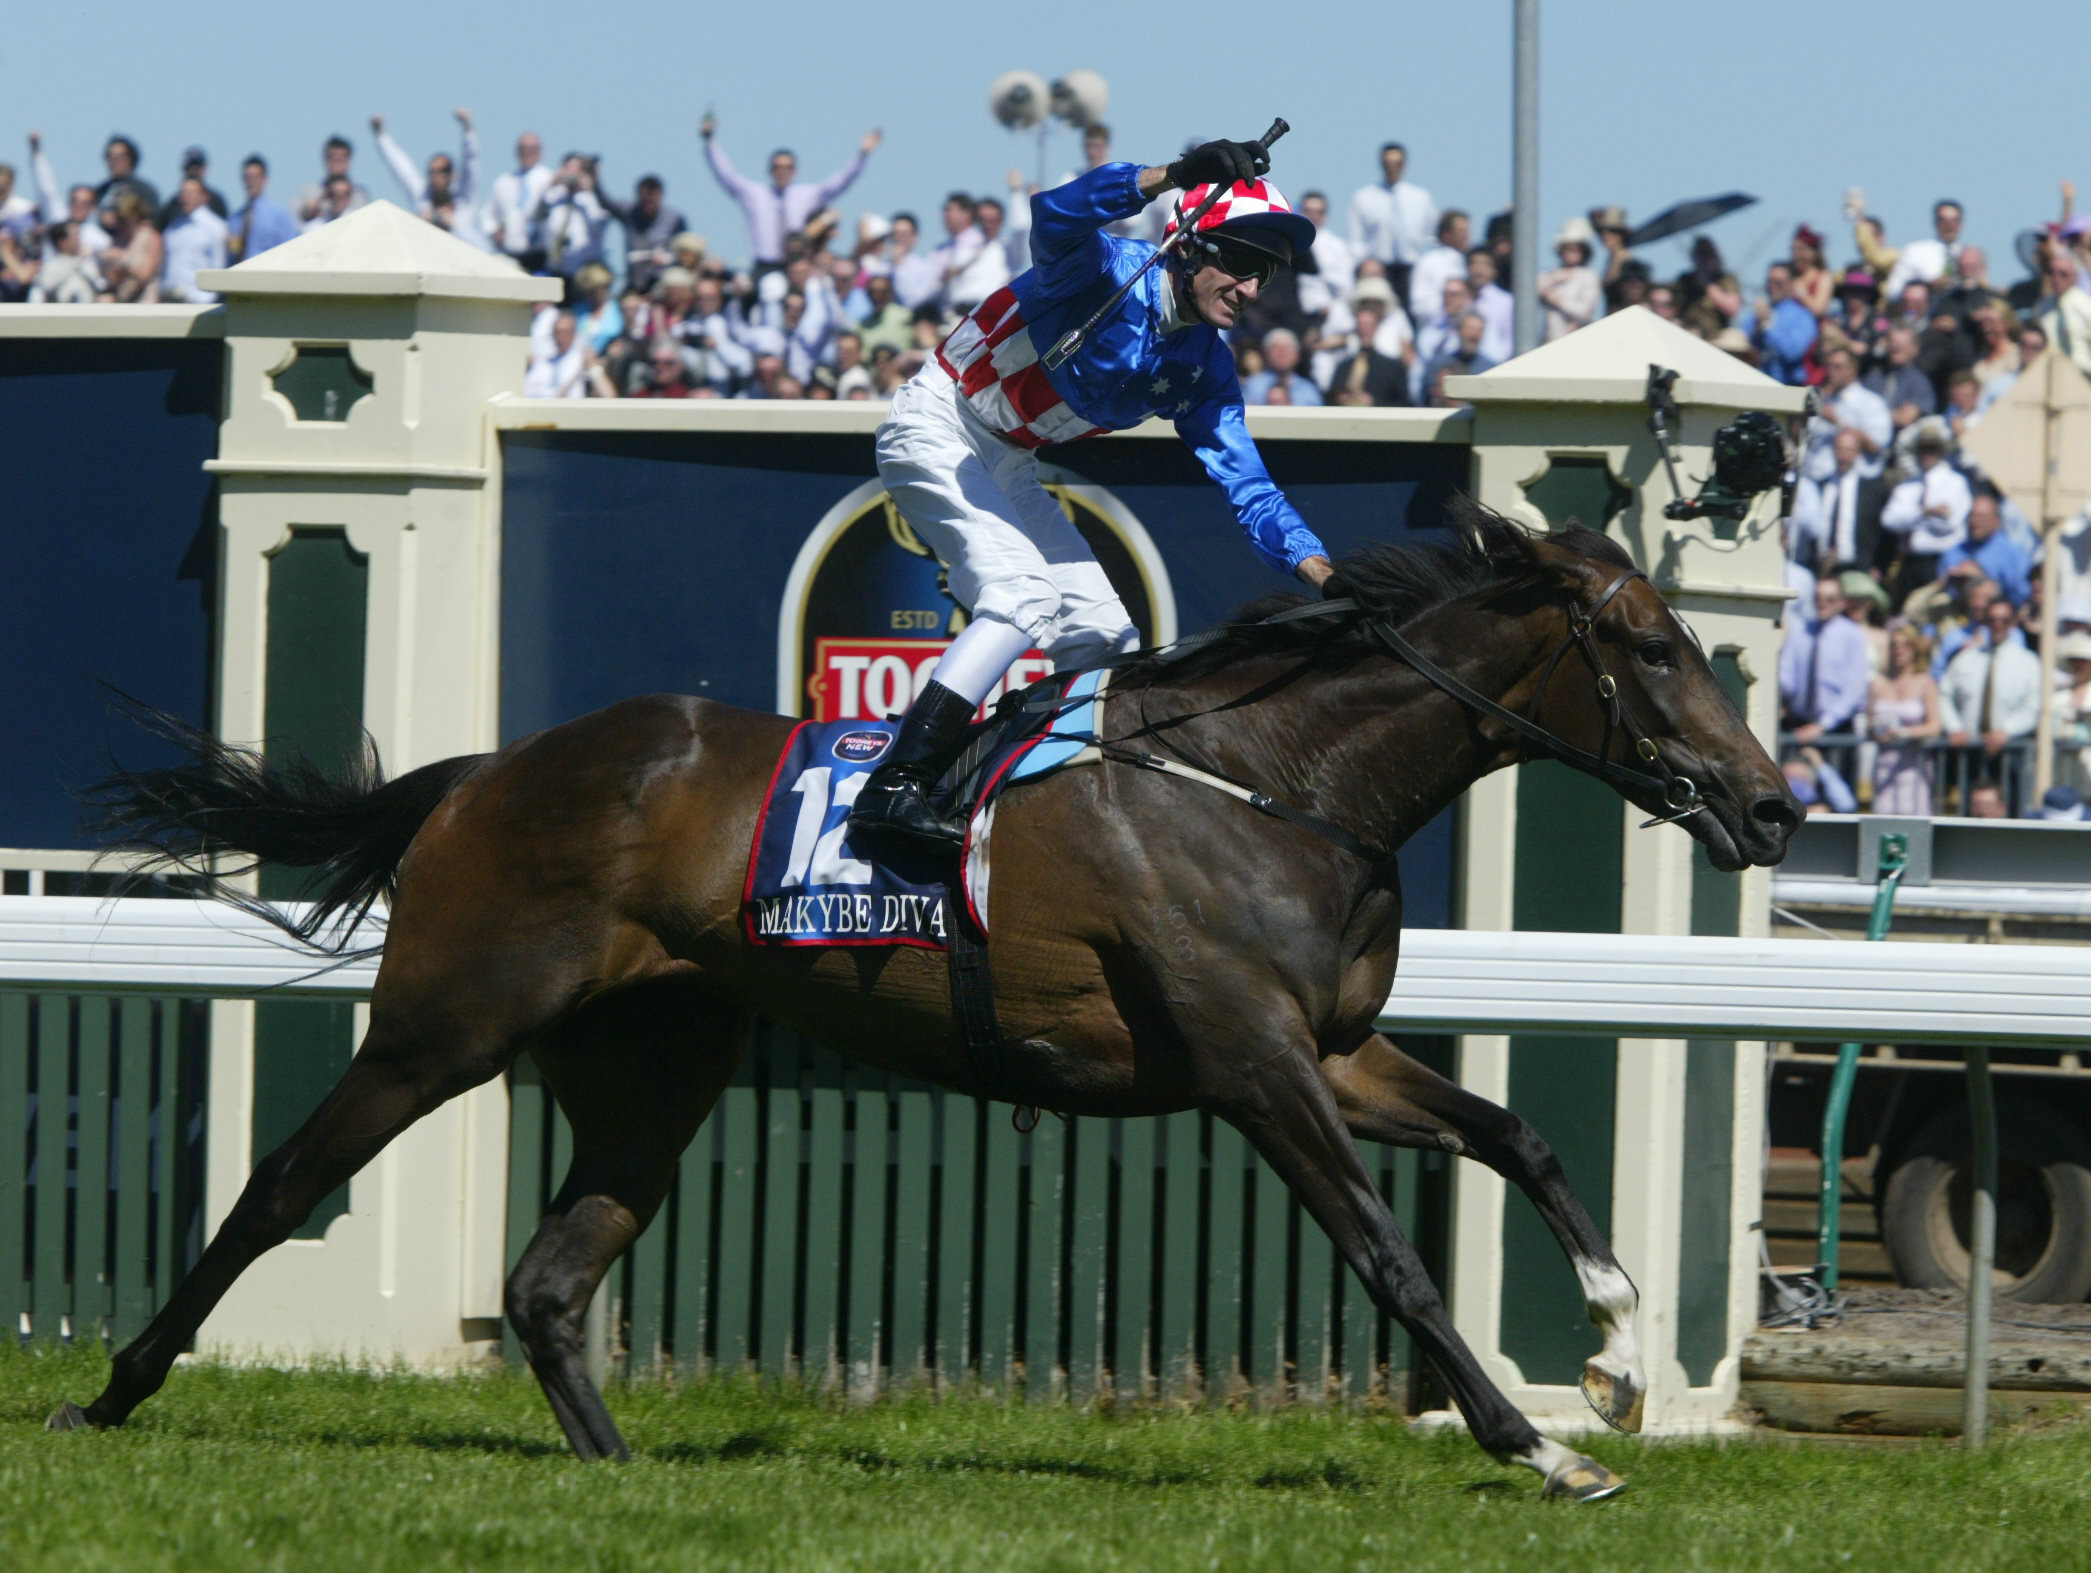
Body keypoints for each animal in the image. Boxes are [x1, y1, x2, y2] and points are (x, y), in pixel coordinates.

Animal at [53, 504, 1798, 1497]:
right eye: (1652, 648)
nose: (1773, 809)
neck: (1275, 781)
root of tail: (488, 768)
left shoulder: (1333, 1048)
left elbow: (1517, 1134)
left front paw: (1619, 1361)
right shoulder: (1249, 1062)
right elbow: (1388, 1256)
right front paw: (1537, 1444)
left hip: (651, 1059)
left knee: (551, 1276)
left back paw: (624, 1475)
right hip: (450, 1017)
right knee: (282, 1186)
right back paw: (115, 1392)